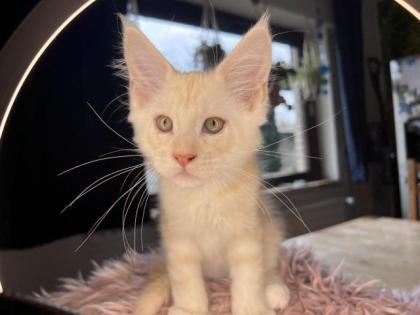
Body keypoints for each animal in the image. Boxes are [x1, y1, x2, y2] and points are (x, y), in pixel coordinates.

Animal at [121, 12, 288, 315]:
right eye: (165, 123)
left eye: (213, 125)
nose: (182, 156)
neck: (204, 196)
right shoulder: (177, 238)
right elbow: (185, 278)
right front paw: (189, 308)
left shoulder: (248, 233)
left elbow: (250, 275)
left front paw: (252, 306)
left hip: (270, 223)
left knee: (269, 261)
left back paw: (273, 288)